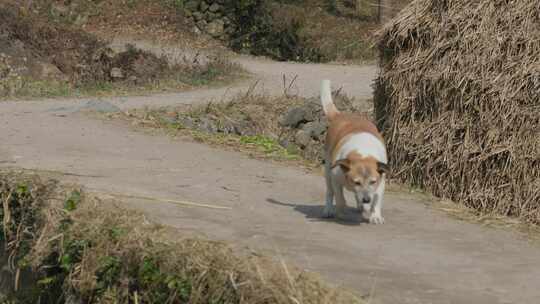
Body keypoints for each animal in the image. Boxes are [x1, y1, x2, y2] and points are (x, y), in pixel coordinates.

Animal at [320, 79, 388, 224]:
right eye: (357, 182)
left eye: (373, 182)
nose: (366, 199)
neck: (363, 153)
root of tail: (340, 115)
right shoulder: (335, 179)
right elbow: (339, 198)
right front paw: (341, 211)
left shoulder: (380, 182)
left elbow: (377, 199)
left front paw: (375, 215)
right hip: (327, 170)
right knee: (329, 192)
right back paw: (329, 209)